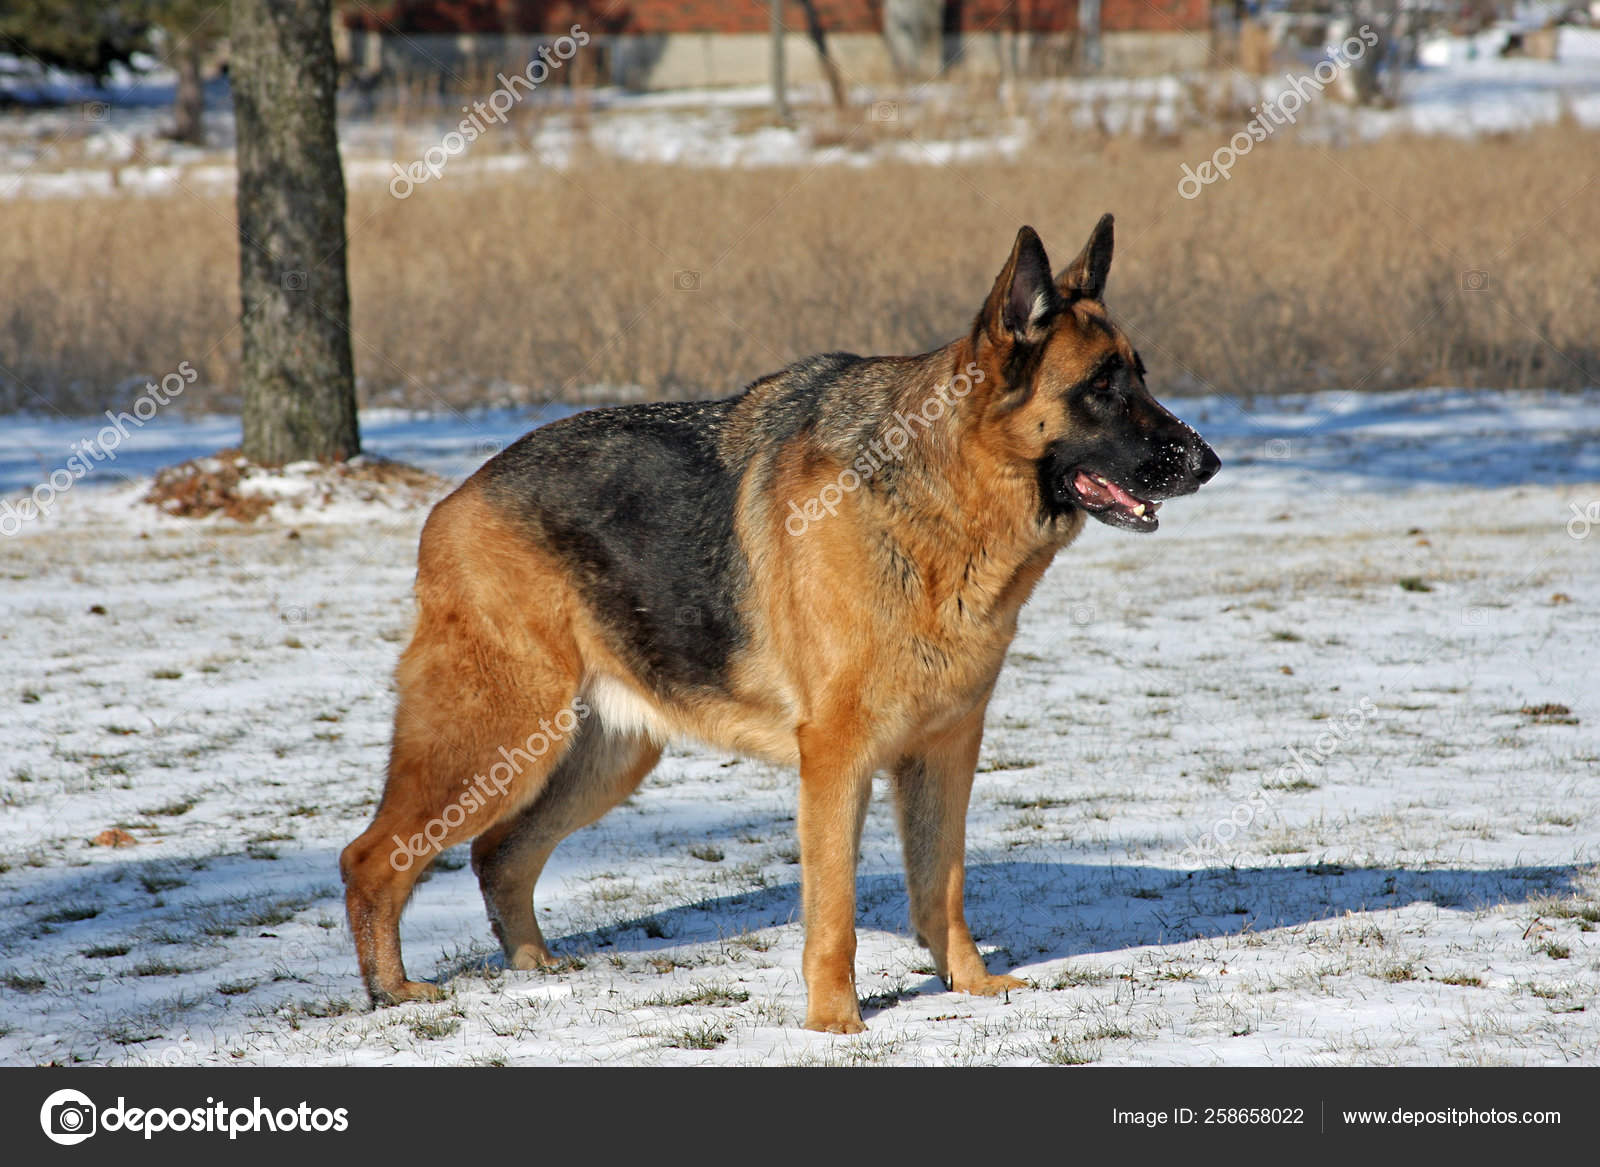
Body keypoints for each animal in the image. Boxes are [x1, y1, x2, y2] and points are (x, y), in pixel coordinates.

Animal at [337, 216, 1209, 1030]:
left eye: (1140, 377)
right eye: (1100, 386)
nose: (1209, 461)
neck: (944, 494)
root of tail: (452, 503)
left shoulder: (946, 750)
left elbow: (944, 884)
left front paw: (968, 982)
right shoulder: (835, 760)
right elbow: (836, 910)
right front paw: (835, 1020)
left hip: (599, 755)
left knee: (497, 853)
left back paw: (532, 967)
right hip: (496, 738)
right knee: (371, 856)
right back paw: (391, 991)